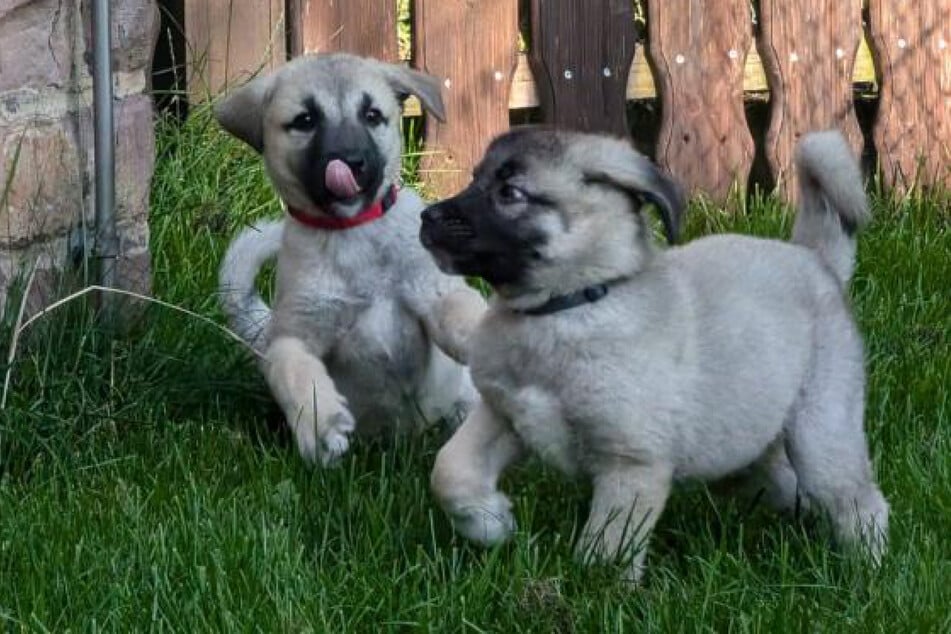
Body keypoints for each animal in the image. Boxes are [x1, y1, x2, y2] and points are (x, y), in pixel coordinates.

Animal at [216, 53, 484, 464]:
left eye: (372, 115)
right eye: (305, 120)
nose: (351, 162)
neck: (353, 231)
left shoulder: (433, 291)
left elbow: (460, 311)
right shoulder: (293, 334)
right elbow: (295, 372)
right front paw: (320, 423)